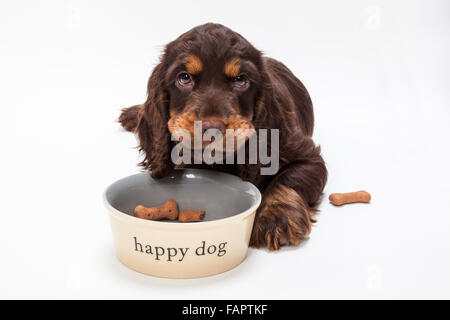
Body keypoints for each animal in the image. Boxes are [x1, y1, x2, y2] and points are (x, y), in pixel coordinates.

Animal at [118, 23, 326, 251]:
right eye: (184, 77)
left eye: (241, 80)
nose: (212, 129)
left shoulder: (308, 156)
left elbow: (288, 179)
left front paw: (276, 217)